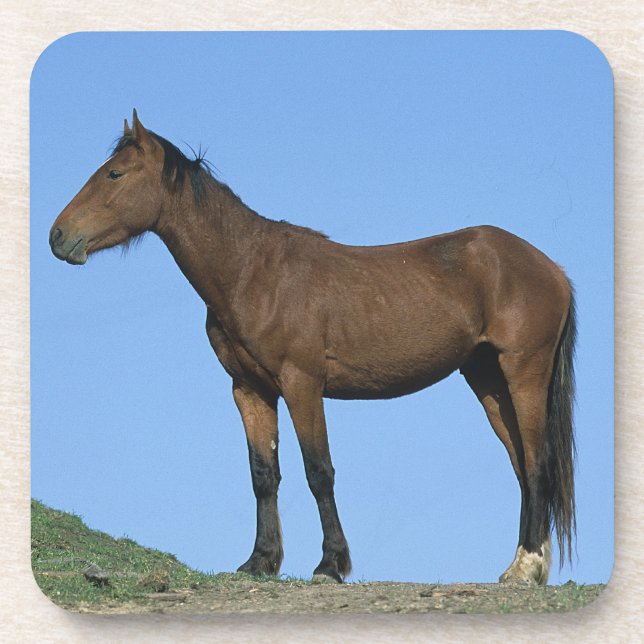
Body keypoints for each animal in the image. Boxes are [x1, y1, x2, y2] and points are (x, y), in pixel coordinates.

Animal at [49, 110, 576, 585]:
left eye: (115, 173)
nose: (58, 236)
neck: (251, 270)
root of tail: (551, 268)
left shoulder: (302, 384)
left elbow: (318, 470)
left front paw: (330, 564)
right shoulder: (250, 389)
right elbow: (264, 473)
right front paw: (260, 561)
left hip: (523, 372)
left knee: (536, 463)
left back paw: (524, 569)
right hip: (487, 380)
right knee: (522, 466)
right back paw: (525, 565)